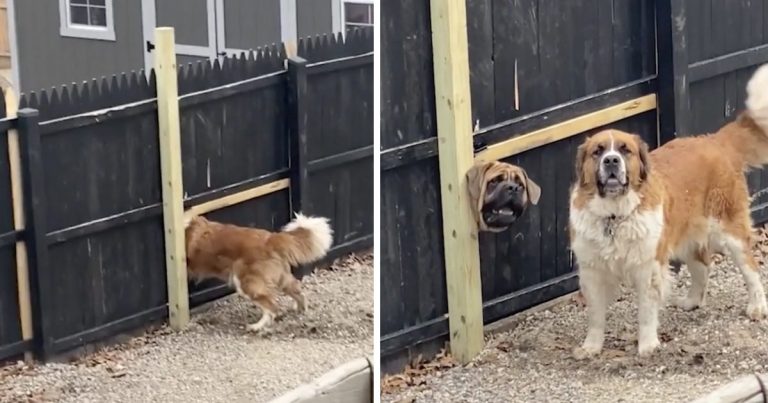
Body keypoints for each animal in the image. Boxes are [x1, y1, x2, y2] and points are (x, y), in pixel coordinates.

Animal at [186, 213, 332, 332]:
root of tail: (270, 239)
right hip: (281, 278)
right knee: (297, 291)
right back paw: (300, 309)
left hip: (247, 282)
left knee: (272, 307)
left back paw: (257, 327)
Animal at [568, 64, 768, 360]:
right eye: (598, 151)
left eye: (625, 151)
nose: (611, 161)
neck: (615, 216)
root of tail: (714, 140)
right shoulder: (592, 270)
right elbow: (595, 316)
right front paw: (591, 346)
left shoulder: (648, 266)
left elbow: (646, 311)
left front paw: (647, 344)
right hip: (685, 234)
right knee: (702, 265)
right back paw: (693, 301)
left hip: (728, 230)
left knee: (750, 268)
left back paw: (757, 306)